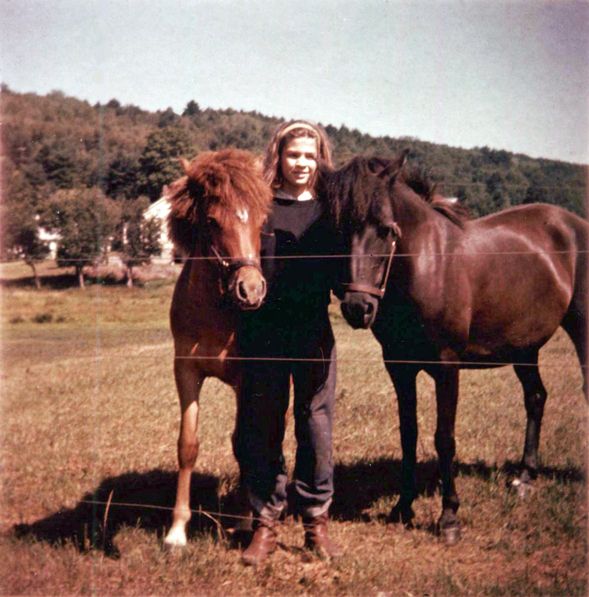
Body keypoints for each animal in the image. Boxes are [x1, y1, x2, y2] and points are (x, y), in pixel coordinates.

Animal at [163, 150, 274, 548]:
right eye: (211, 220)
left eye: (261, 219)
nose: (251, 290)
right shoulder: (185, 372)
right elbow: (187, 445)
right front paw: (177, 530)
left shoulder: (246, 379)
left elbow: (244, 441)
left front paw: (243, 519)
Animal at [324, 155, 584, 544]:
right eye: (338, 229)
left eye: (387, 230)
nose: (358, 308)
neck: (428, 265)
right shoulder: (399, 367)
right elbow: (408, 434)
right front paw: (402, 507)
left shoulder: (447, 366)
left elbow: (444, 438)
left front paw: (449, 518)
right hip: (524, 349)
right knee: (536, 398)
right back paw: (525, 477)